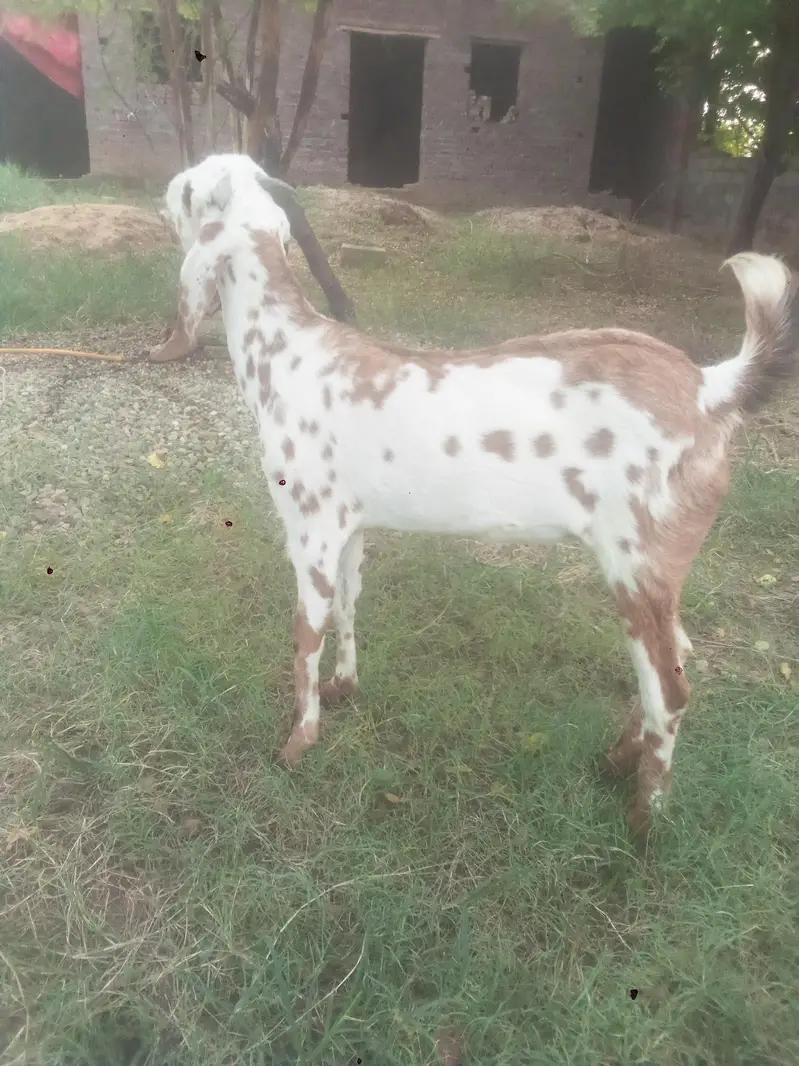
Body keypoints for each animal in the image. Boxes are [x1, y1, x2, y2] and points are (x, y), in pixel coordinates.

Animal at [151, 169, 798, 844]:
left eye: (191, 188)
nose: (162, 194)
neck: (290, 356)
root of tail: (710, 391)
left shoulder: (311, 527)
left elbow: (306, 631)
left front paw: (298, 742)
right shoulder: (350, 525)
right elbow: (350, 605)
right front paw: (344, 687)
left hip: (636, 561)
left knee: (671, 690)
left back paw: (644, 820)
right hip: (658, 569)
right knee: (674, 662)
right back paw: (620, 760)